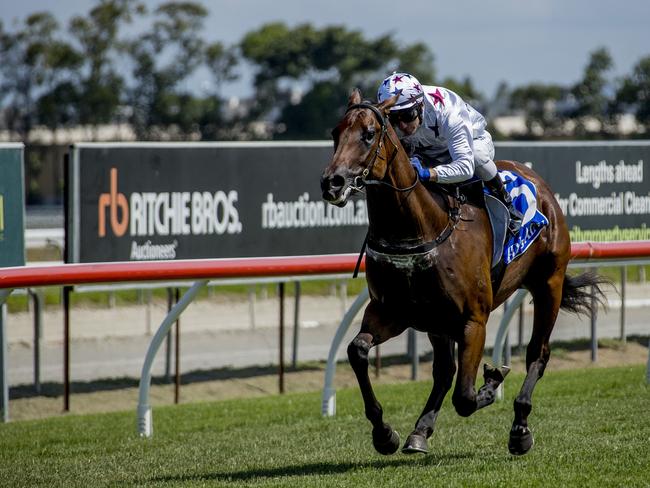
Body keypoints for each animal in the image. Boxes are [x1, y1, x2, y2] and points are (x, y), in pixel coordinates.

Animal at [316, 90, 604, 458]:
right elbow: (357, 351)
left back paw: (520, 428)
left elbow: (466, 397)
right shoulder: (393, 312)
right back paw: (420, 431)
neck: (422, 227)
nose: (332, 182)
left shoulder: (473, 320)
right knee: (444, 371)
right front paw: (384, 433)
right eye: (335, 133)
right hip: (438, 320)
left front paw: (492, 381)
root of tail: (539, 186)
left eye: (368, 134)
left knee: (537, 352)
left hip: (548, 284)